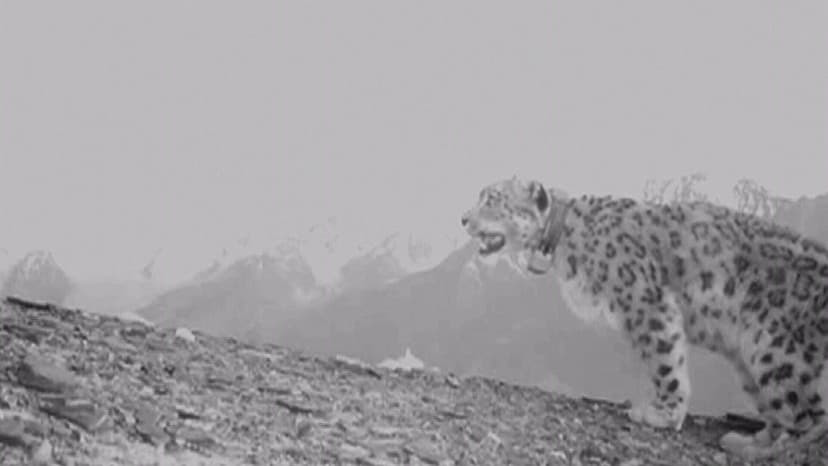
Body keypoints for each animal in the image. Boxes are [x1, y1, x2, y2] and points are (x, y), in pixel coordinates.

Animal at [460, 176, 828, 460]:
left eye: (492, 198)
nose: (463, 218)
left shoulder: (646, 303)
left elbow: (665, 361)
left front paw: (661, 414)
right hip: (750, 363)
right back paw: (752, 438)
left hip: (777, 352)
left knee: (808, 417)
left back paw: (758, 449)